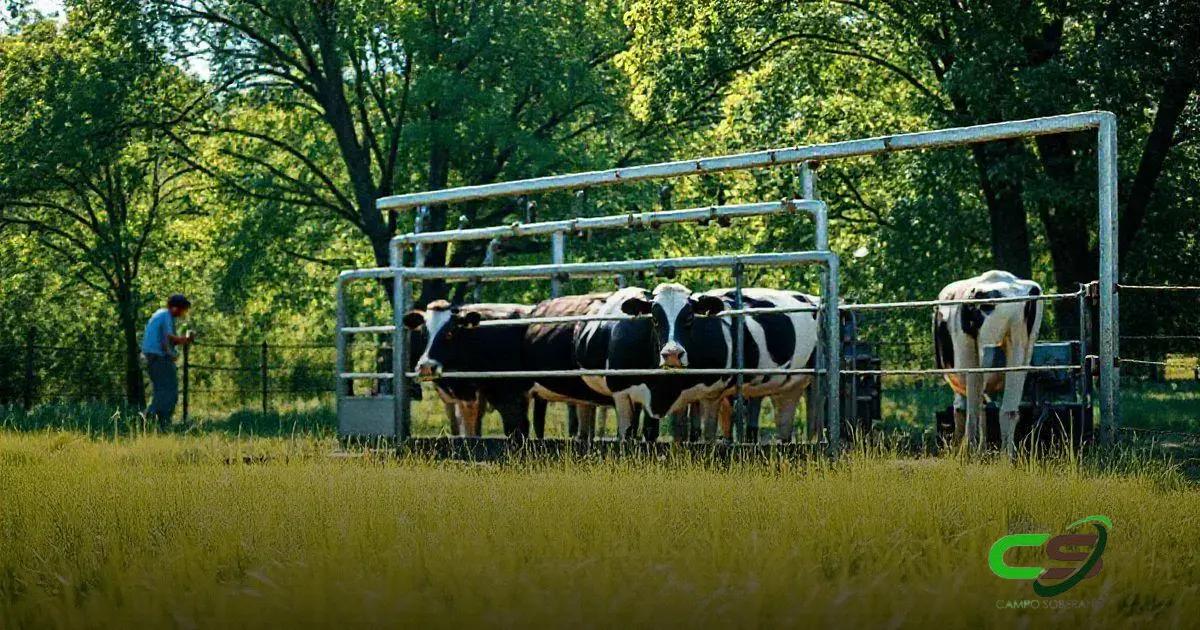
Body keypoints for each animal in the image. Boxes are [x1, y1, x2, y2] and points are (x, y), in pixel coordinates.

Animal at [573, 284, 820, 441]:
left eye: (690, 317)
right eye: (654, 319)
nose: (672, 353)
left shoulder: (710, 393)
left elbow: (705, 438)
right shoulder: (622, 393)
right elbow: (630, 437)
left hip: (797, 385)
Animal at [931, 268, 1046, 451]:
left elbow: (965, 409)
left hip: (981, 350)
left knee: (974, 409)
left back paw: (969, 451)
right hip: (1021, 346)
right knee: (1008, 411)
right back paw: (1005, 455)